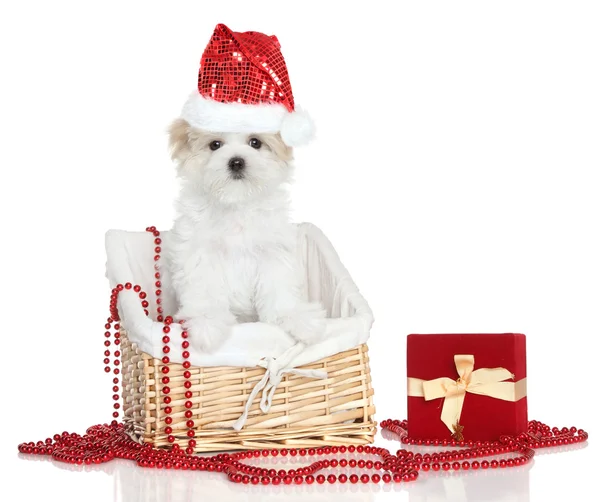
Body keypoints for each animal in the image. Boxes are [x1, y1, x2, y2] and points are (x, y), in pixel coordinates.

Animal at [162, 118, 326, 352]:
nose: (237, 162)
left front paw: (295, 317)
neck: (235, 203)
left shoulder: (272, 254)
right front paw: (207, 323)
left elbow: (279, 289)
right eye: (215, 145)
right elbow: (204, 290)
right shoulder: (199, 255)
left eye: (255, 142)